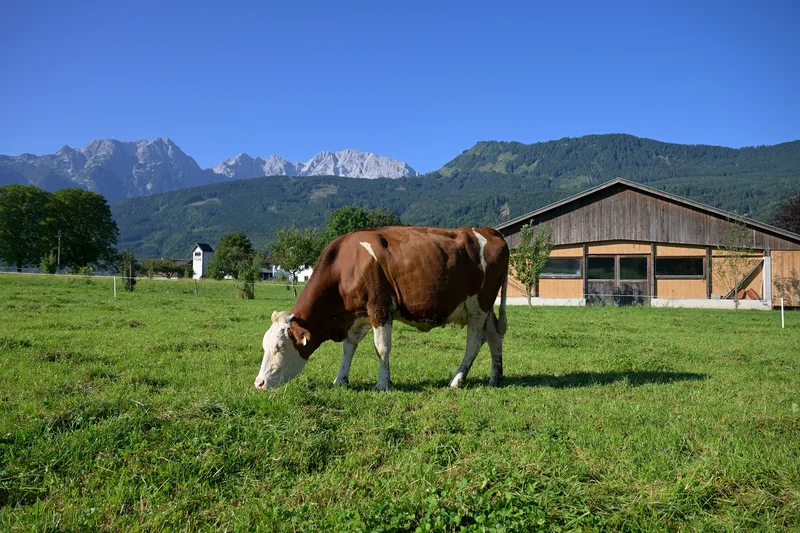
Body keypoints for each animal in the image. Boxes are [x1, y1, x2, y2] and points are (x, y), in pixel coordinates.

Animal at [254, 226, 509, 390]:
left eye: (280, 347)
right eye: (264, 346)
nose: (259, 383)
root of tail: (489, 230)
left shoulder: (380, 307)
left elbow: (382, 348)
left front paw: (383, 383)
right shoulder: (356, 316)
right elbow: (348, 348)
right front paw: (340, 380)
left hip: (478, 304)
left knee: (475, 341)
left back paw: (456, 380)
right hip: (485, 307)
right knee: (494, 335)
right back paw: (495, 377)